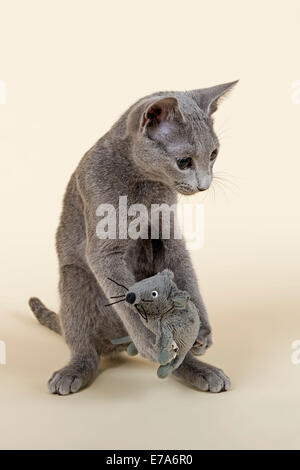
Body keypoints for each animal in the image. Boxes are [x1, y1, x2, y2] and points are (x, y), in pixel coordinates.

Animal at [29, 81, 238, 396]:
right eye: (184, 161)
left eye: (213, 154)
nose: (204, 185)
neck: (143, 183)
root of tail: (119, 342)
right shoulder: (103, 243)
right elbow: (125, 297)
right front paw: (150, 342)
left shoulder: (168, 233)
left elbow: (185, 270)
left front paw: (201, 330)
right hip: (74, 281)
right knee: (84, 347)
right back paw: (73, 372)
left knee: (176, 356)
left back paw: (201, 369)